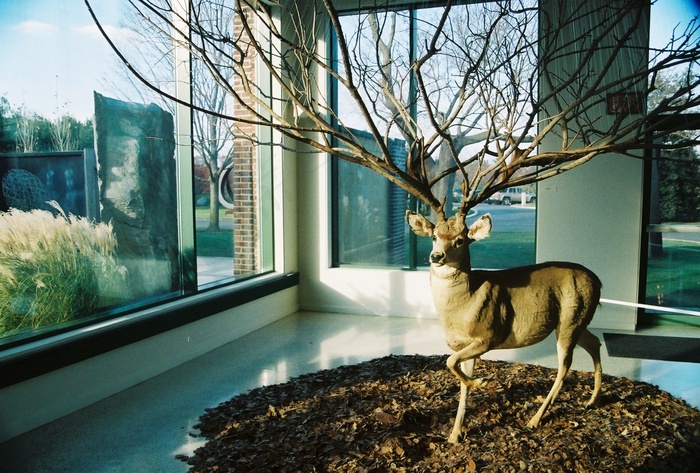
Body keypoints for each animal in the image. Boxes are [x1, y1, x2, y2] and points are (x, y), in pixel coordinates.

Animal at [404, 198, 600, 438]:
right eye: (434, 236)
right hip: (578, 320)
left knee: (564, 365)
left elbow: (450, 361)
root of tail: (598, 281)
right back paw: (591, 401)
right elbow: (460, 378)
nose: (436, 256)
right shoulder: (466, 345)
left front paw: (483, 381)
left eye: (460, 240)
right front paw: (455, 435)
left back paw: (534, 419)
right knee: (594, 343)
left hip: (570, 319)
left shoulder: (488, 335)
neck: (462, 308)